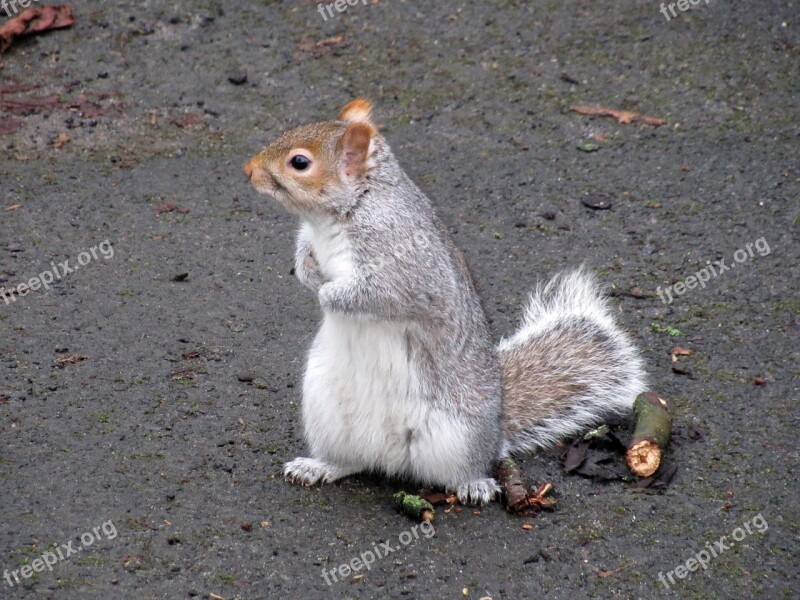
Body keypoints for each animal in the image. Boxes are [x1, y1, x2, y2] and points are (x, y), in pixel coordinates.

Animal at [244, 101, 648, 504]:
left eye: (299, 162)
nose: (249, 170)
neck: (342, 214)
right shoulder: (311, 236)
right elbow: (303, 251)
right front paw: (308, 273)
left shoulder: (406, 266)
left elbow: (381, 294)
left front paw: (327, 295)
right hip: (326, 414)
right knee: (351, 461)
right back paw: (318, 467)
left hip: (457, 438)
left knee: (458, 471)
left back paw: (473, 485)